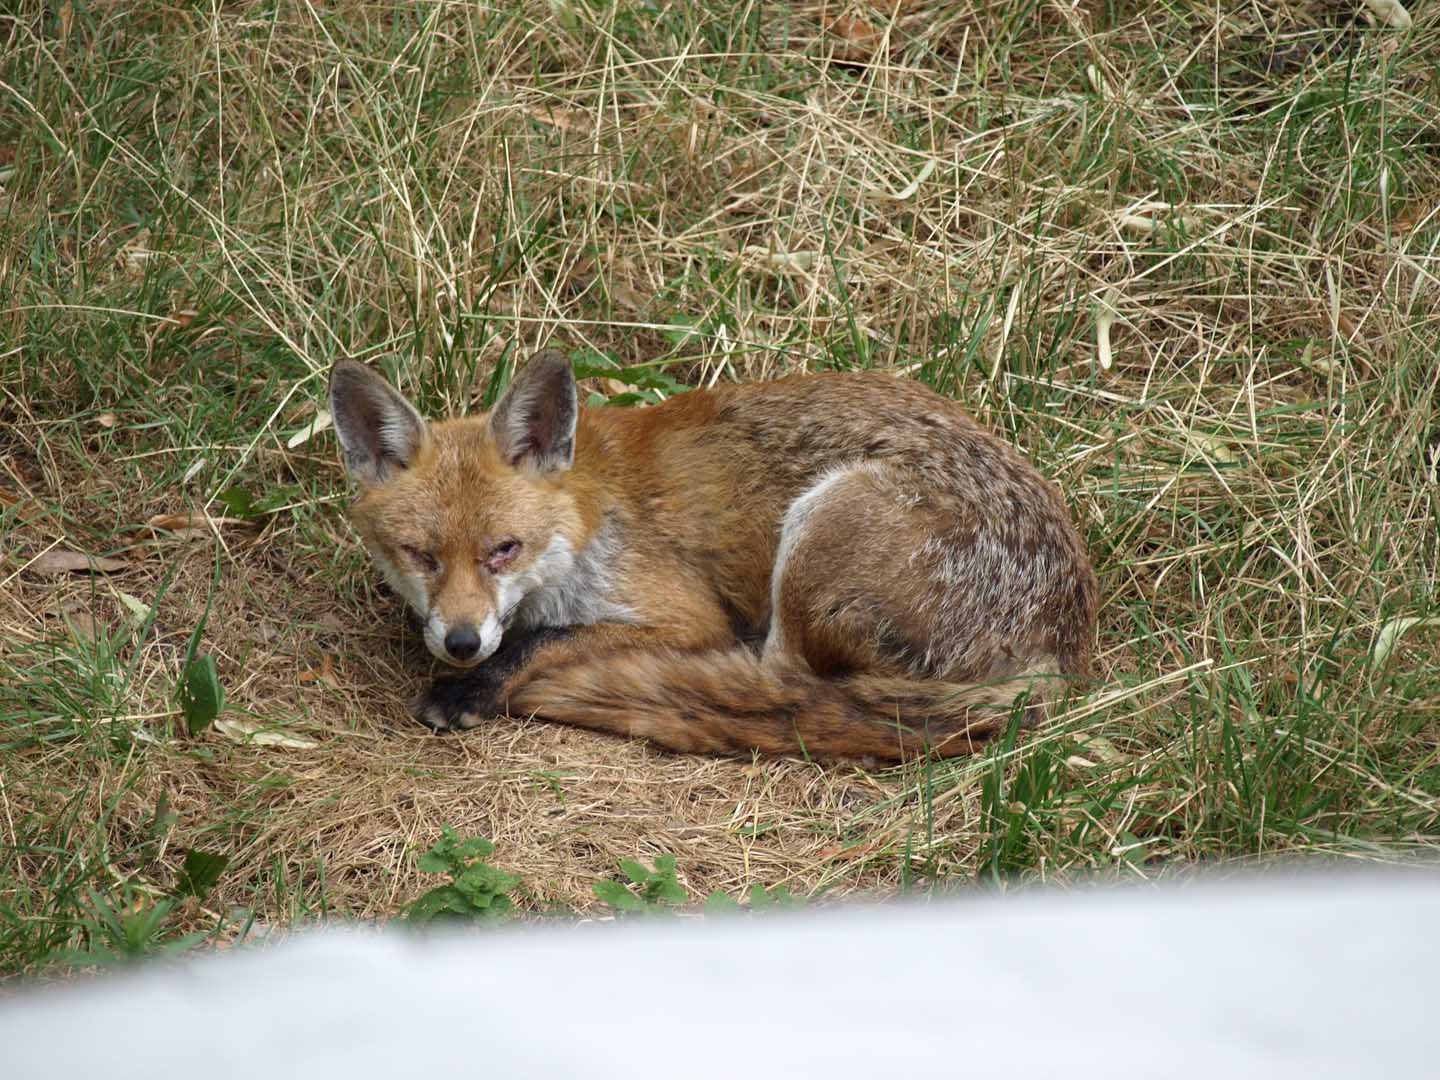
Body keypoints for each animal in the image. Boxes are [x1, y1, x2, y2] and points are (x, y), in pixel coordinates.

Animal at [329, 350, 1097, 761]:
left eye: (503, 550)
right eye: (420, 555)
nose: (460, 644)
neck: (583, 518)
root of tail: (1060, 646)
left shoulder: (683, 614)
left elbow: (547, 639)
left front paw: (476, 689)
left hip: (821, 529)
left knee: (775, 681)